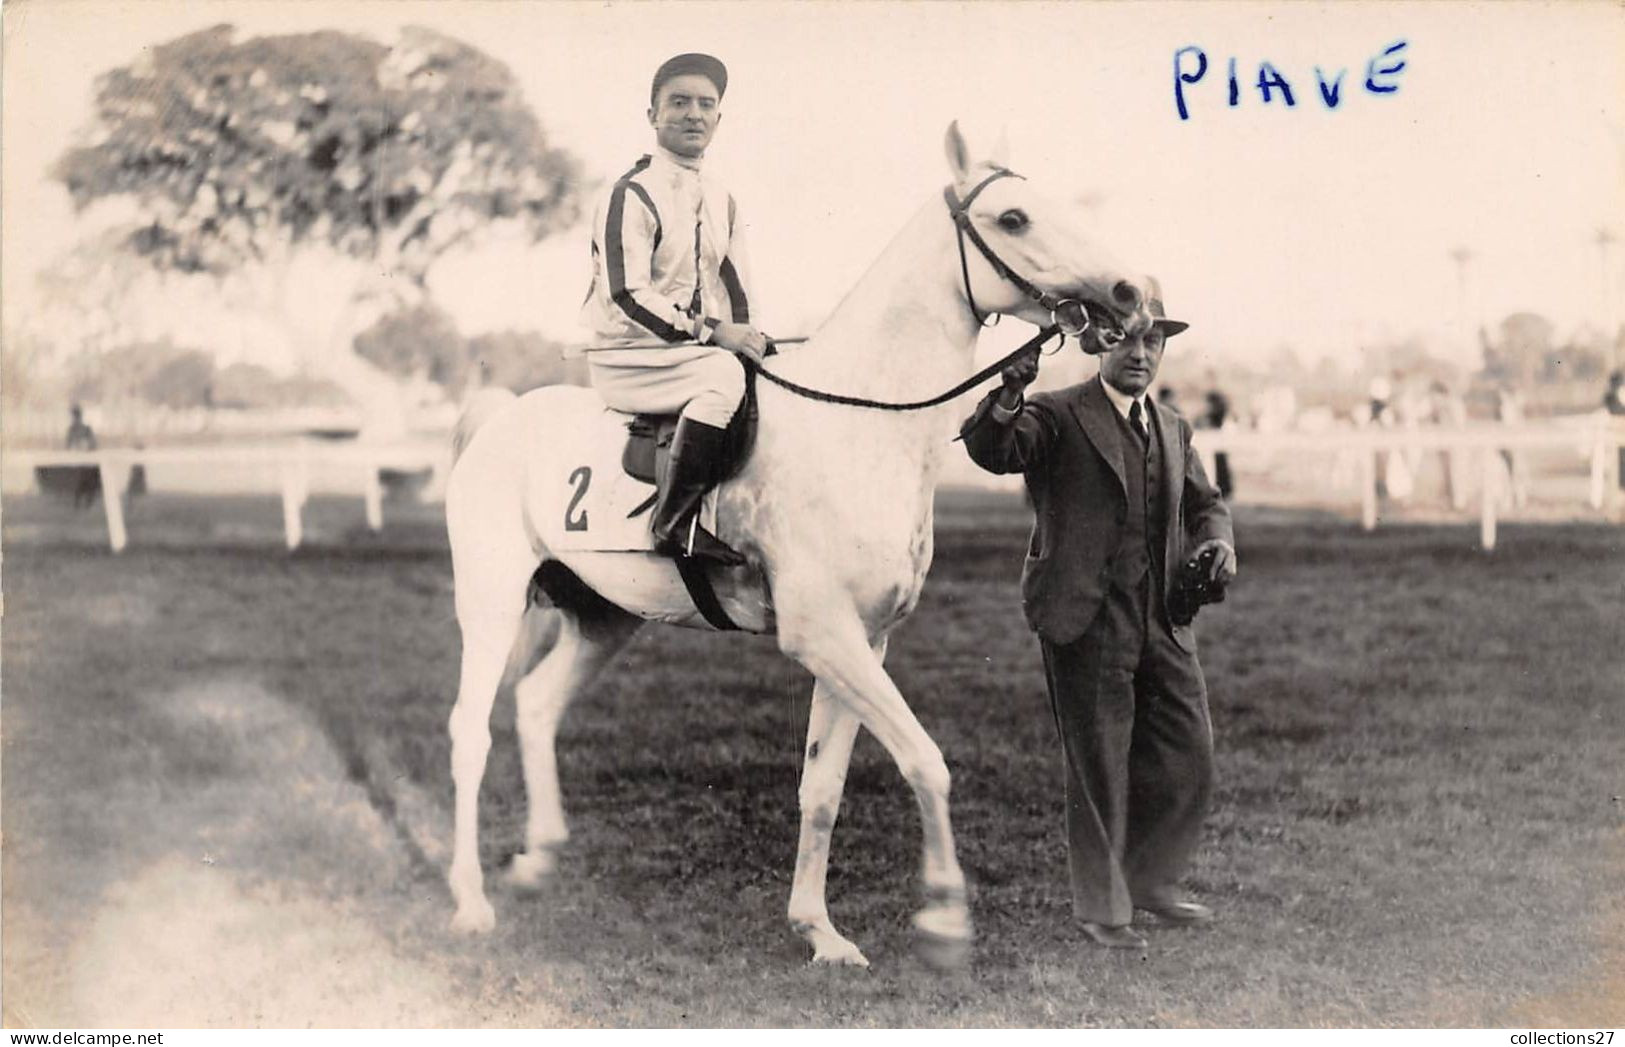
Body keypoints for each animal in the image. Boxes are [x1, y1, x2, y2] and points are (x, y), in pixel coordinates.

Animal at [445, 126, 1157, 968]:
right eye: (1015, 217)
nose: (1130, 291)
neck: (862, 416)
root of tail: (496, 418)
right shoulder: (822, 635)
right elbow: (926, 760)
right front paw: (945, 917)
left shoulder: (863, 642)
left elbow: (823, 788)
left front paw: (819, 930)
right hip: (490, 605)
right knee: (469, 730)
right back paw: (470, 902)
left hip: (605, 617)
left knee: (534, 704)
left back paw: (540, 856)